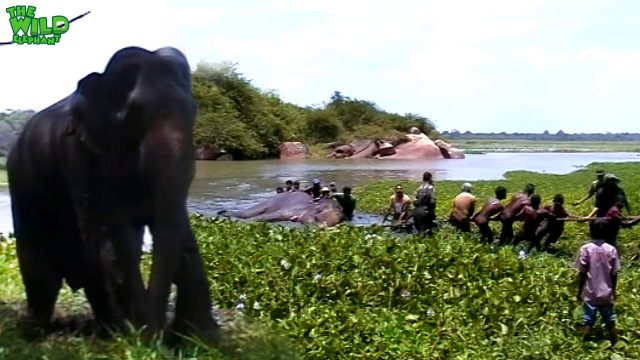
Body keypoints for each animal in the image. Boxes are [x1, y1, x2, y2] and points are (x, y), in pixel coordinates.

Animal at [5, 45, 218, 340]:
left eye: (194, 111)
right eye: (133, 116)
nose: (155, 335)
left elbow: (176, 229)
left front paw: (201, 339)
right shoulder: (78, 155)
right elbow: (109, 231)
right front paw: (135, 334)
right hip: (22, 184)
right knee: (42, 271)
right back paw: (40, 331)